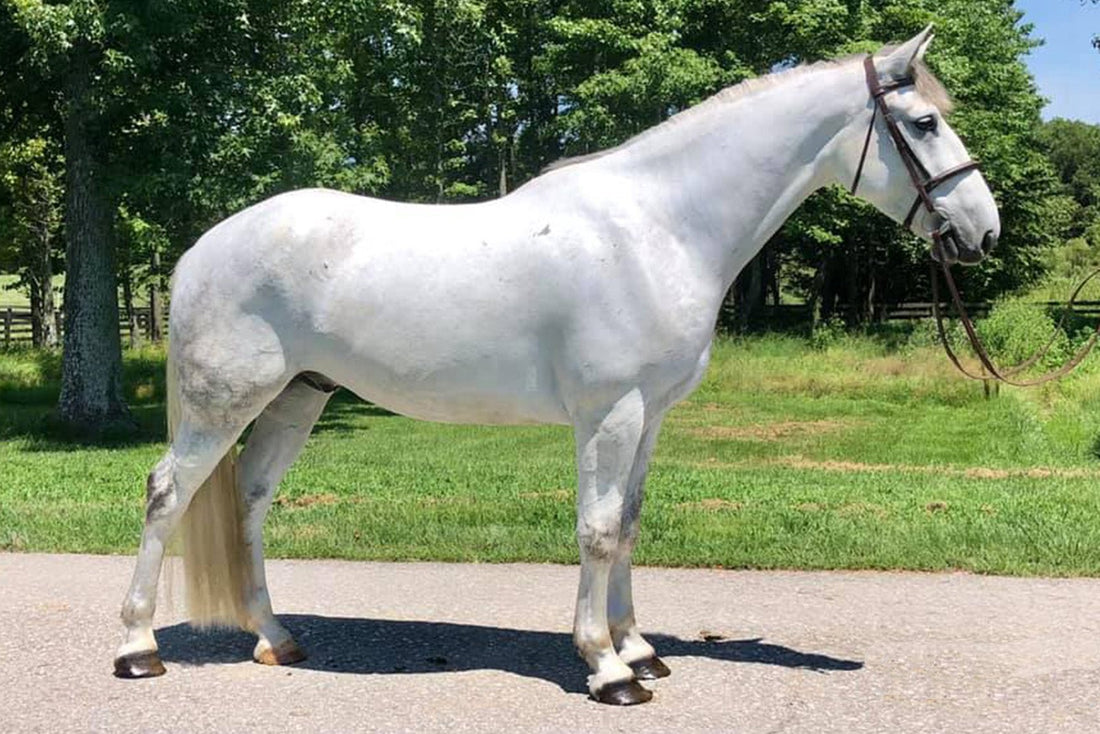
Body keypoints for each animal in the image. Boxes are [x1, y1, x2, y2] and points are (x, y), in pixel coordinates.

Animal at [113, 27, 999, 705]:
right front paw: (608, 669)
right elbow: (597, 530)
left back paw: (274, 637)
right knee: (167, 495)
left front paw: (640, 648)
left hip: (297, 398)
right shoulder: (611, 412)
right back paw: (137, 649)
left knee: (250, 501)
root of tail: (204, 247)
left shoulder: (652, 415)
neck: (656, 228)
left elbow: (631, 522)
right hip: (224, 403)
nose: (982, 231)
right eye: (923, 122)